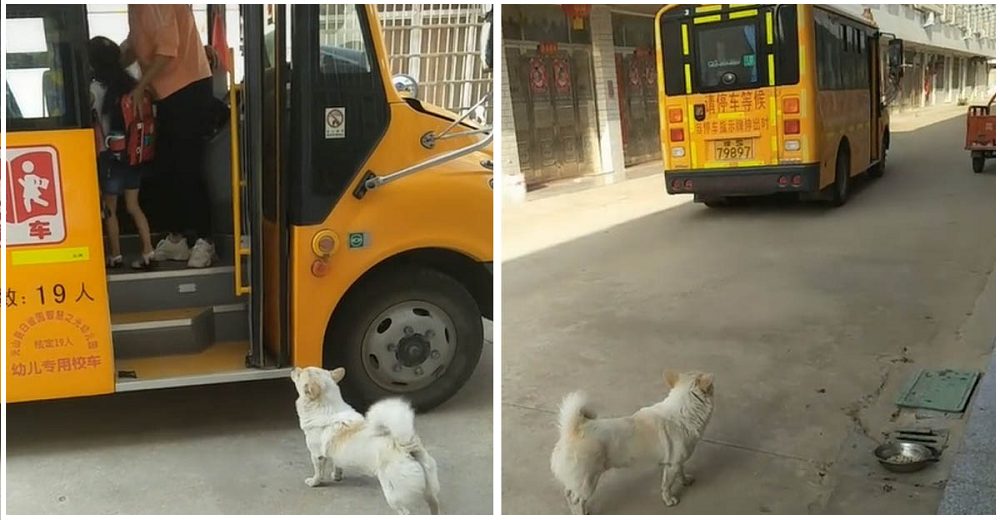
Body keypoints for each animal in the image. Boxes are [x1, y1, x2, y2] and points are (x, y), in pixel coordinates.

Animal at [292, 368, 444, 512]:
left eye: (300, 374)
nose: (294, 368)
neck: (327, 406)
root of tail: (406, 446)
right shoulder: (335, 454)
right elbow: (337, 464)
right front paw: (337, 476)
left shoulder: (316, 456)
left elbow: (318, 472)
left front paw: (314, 482)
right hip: (430, 488)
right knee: (434, 503)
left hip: (393, 495)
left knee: (405, 511)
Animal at [552, 372, 716, 512]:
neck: (683, 412)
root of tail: (574, 430)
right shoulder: (671, 466)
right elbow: (667, 485)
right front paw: (669, 500)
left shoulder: (677, 462)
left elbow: (681, 472)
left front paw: (685, 480)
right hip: (587, 483)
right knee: (577, 500)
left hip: (577, 481)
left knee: (569, 494)